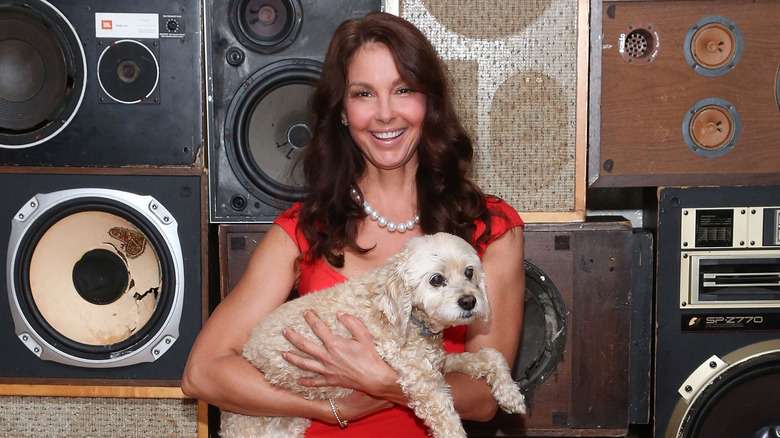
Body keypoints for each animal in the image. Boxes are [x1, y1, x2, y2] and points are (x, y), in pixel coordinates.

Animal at [222, 231, 528, 436]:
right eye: (436, 279)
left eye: (469, 272)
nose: (469, 301)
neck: (407, 318)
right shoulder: (423, 383)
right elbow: (449, 423)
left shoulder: (437, 364)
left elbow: (490, 355)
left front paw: (510, 394)